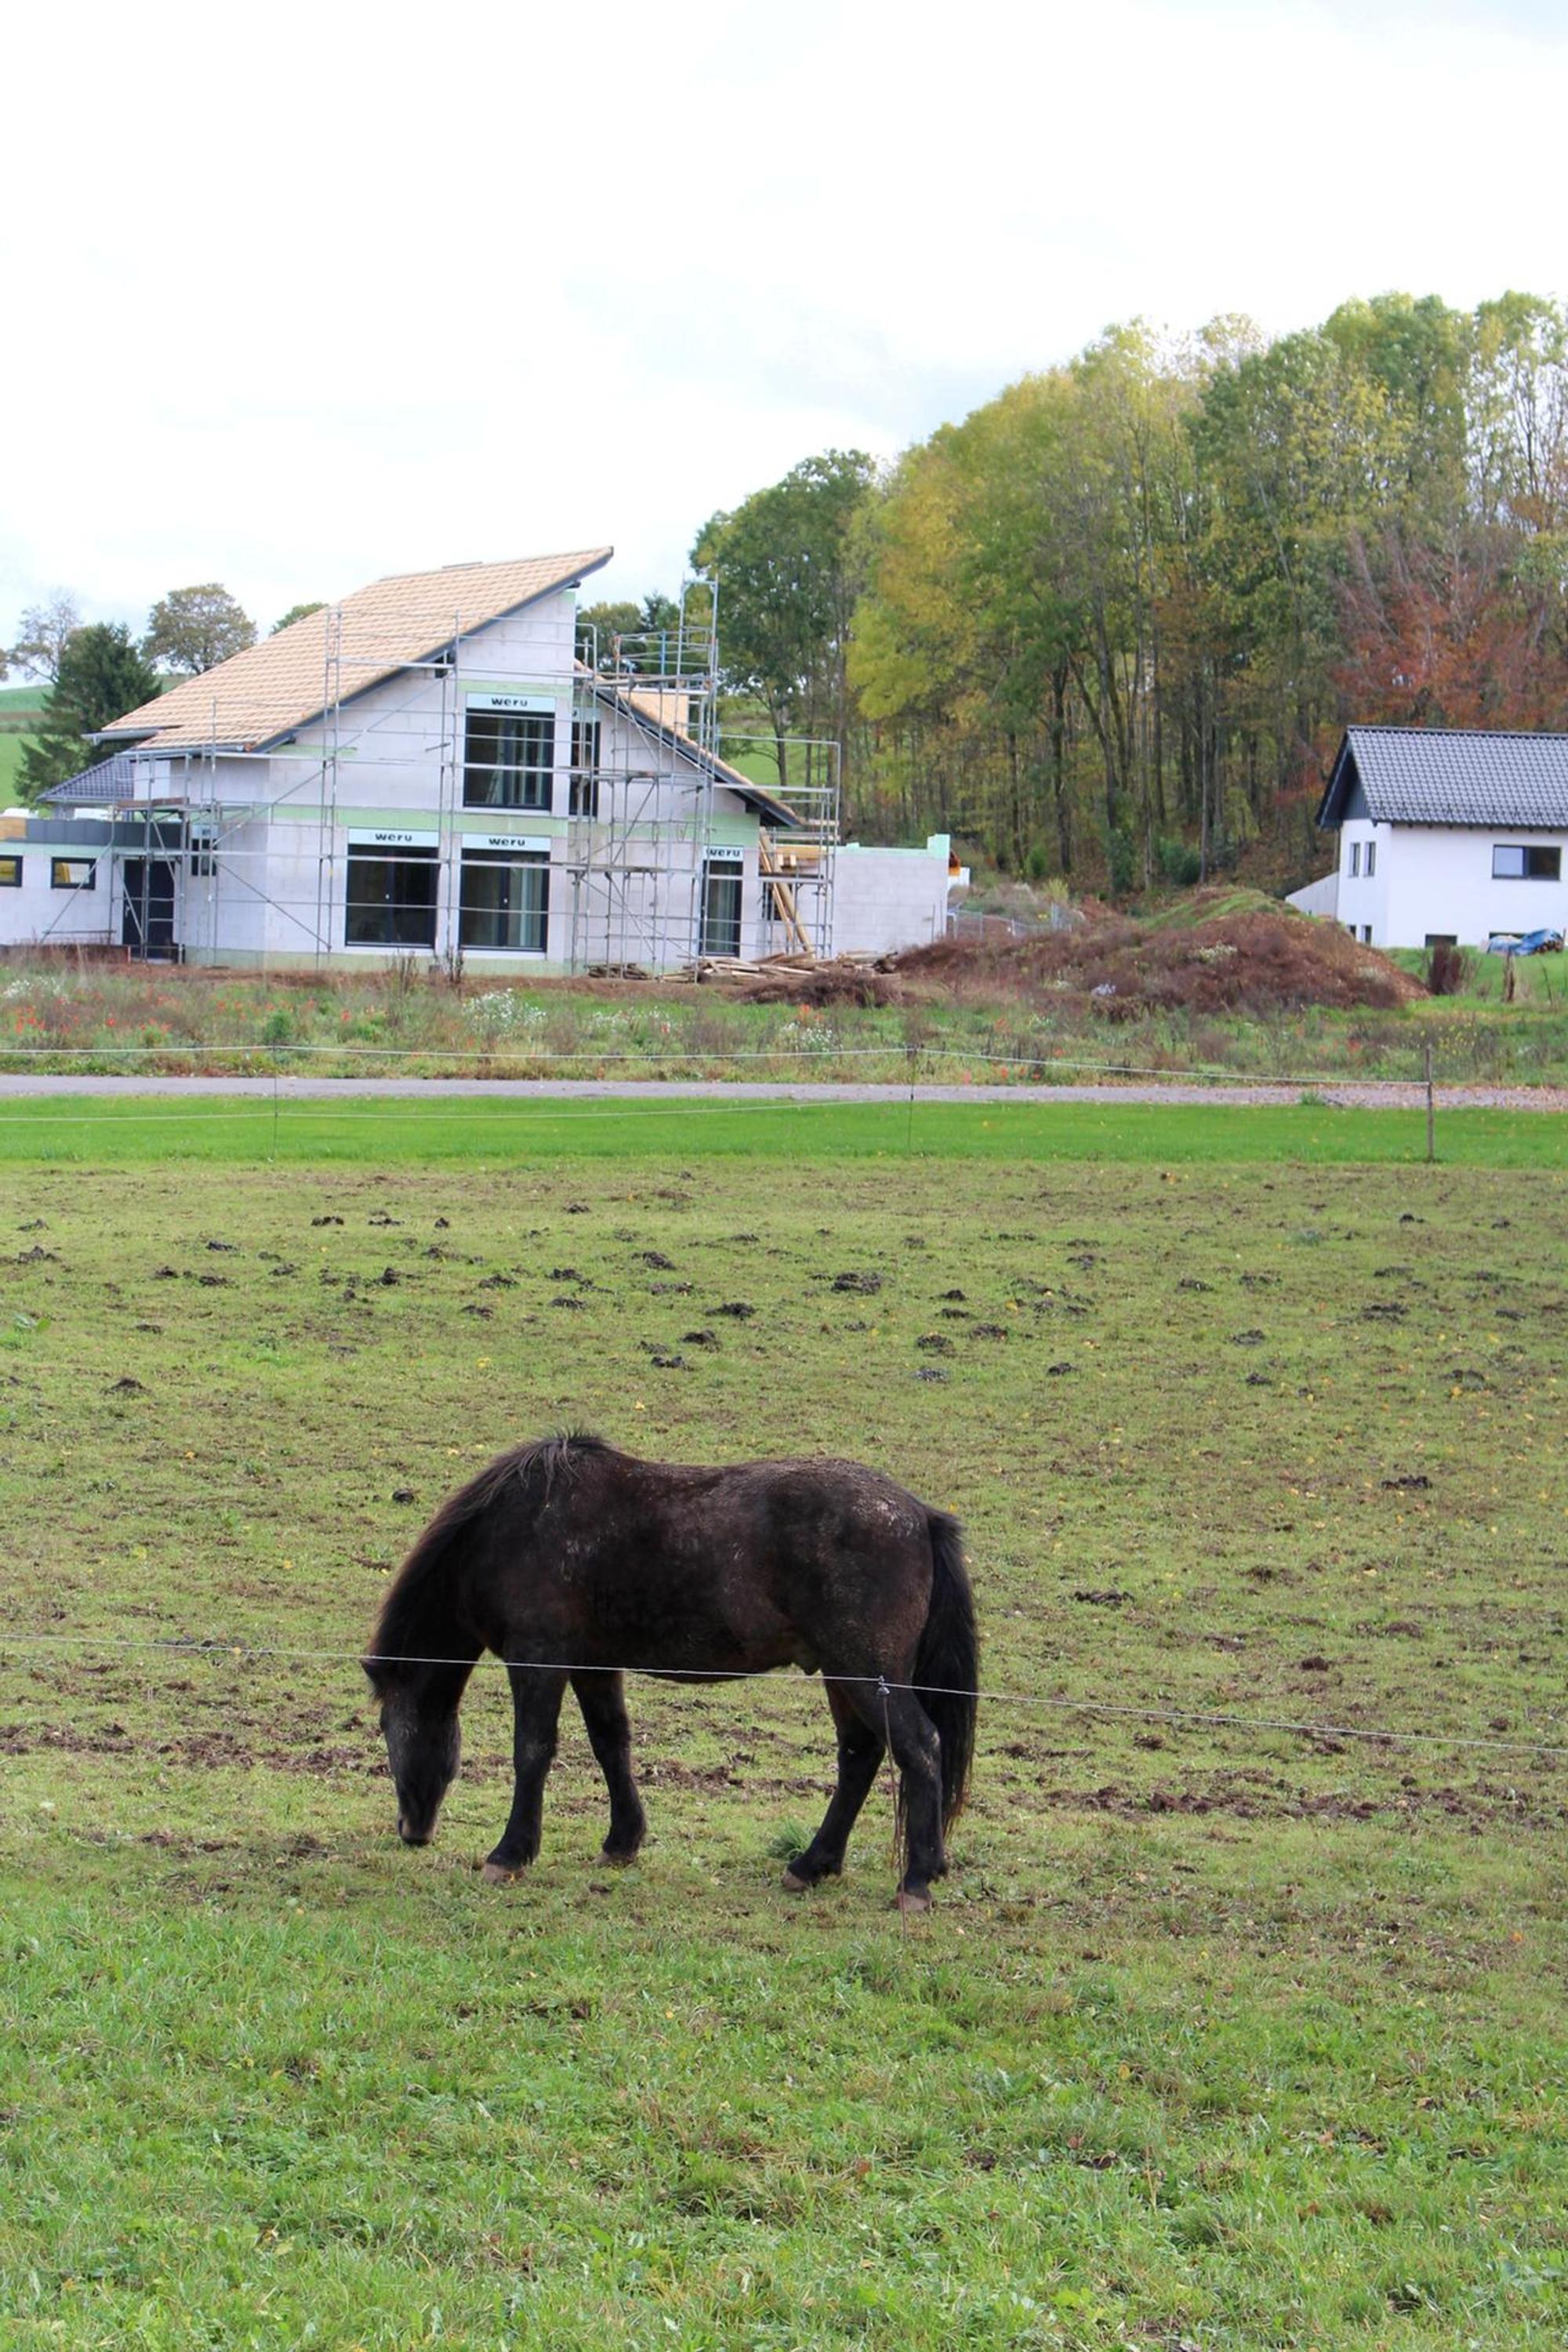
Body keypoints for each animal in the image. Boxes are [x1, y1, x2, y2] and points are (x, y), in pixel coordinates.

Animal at [362, 1432, 978, 1911]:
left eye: (389, 1730)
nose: (411, 1831)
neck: (516, 1526)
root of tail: (919, 1515)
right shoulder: (594, 1664)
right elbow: (611, 1743)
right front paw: (621, 1841)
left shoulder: (538, 1660)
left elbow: (532, 1751)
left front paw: (510, 1854)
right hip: (843, 1675)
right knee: (859, 1757)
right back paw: (812, 1865)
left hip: (867, 1674)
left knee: (919, 1748)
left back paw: (915, 1881)